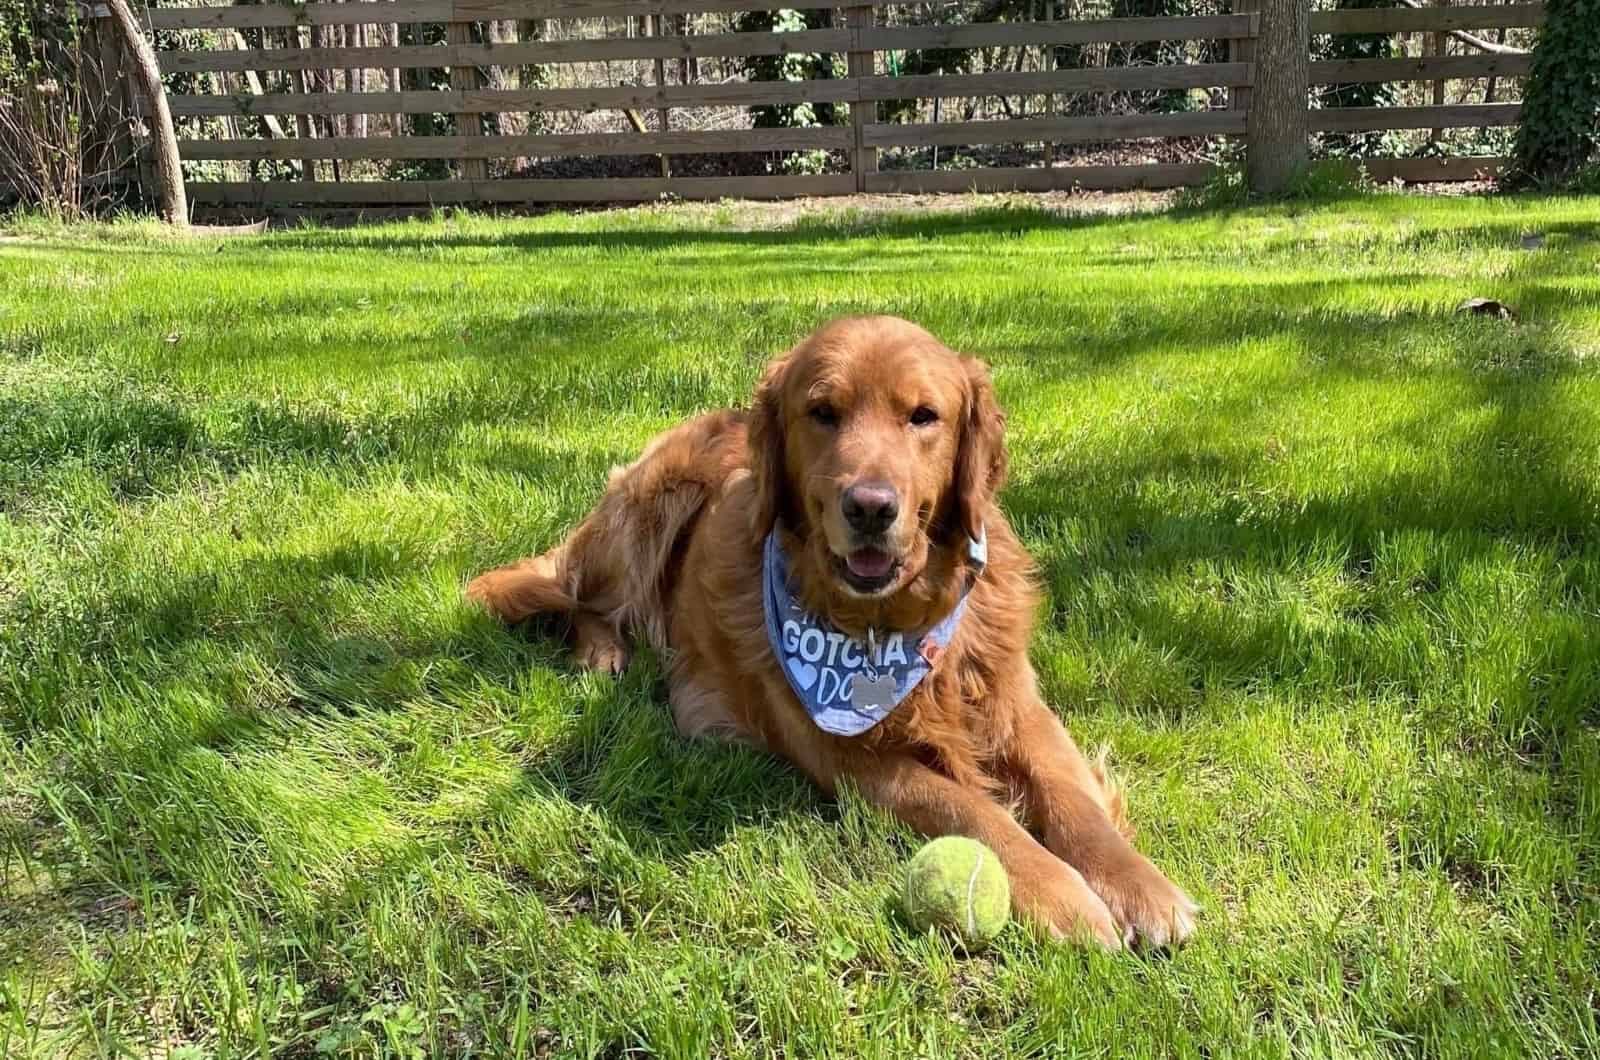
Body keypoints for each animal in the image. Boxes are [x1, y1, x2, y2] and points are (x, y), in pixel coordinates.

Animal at [467, 313, 1196, 947]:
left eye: (923, 416)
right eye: (823, 412)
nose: (870, 507)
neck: (889, 626)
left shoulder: (1017, 703)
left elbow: (1071, 795)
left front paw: (1139, 886)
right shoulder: (840, 753)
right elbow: (968, 808)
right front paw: (1061, 893)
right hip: (650, 508)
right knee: (581, 597)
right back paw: (601, 651)